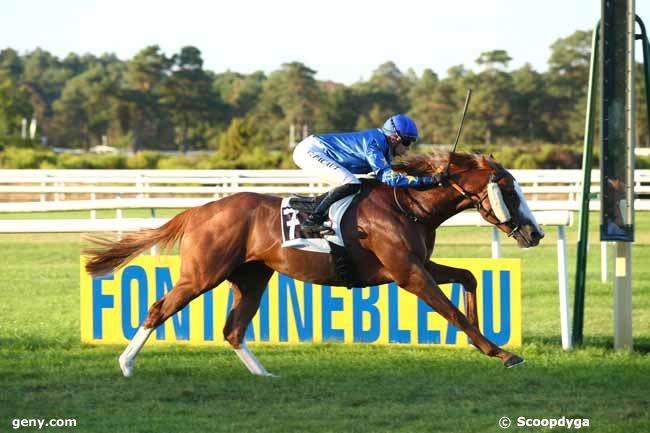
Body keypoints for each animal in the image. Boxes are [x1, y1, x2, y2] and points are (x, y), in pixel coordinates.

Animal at [85, 152, 540, 374]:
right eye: (509, 191)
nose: (536, 234)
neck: (409, 206)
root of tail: (198, 210)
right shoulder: (407, 273)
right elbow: (450, 311)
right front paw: (499, 351)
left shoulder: (415, 265)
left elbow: (468, 278)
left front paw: (483, 341)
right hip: (203, 273)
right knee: (159, 308)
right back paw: (126, 364)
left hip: (252, 277)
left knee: (233, 329)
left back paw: (265, 376)